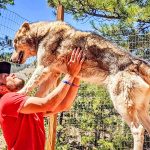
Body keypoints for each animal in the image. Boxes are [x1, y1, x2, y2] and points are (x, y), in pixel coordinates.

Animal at [10, 20, 150, 149]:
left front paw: (18, 94)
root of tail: (136, 62)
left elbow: (29, 85)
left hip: (121, 106)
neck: (43, 34)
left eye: (15, 43)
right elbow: (40, 94)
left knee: (138, 130)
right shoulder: (53, 73)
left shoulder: (42, 68)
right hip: (139, 111)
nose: (11, 60)